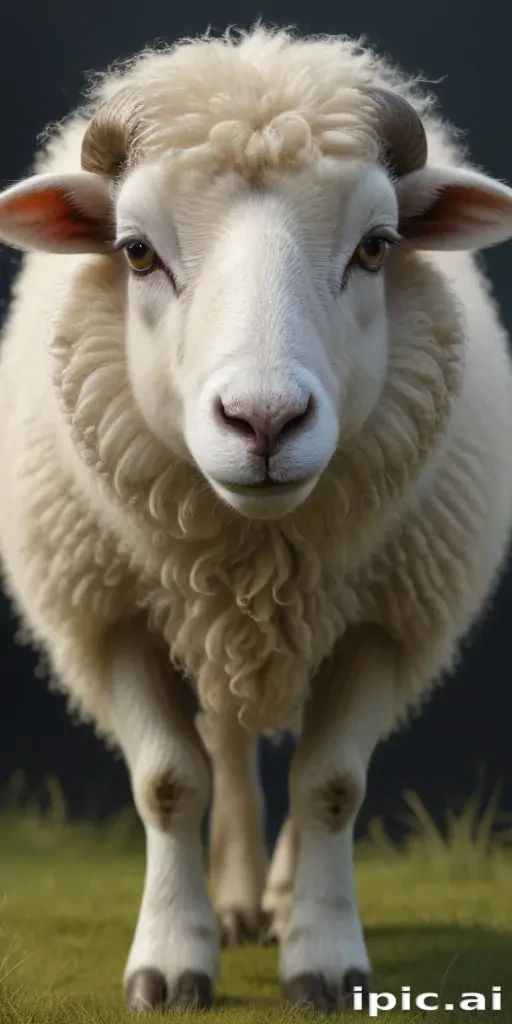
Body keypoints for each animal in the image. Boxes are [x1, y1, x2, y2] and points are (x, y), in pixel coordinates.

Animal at [1, 23, 512, 1013]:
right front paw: (172, 961)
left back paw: (275, 896)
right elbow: (169, 784)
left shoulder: (383, 623)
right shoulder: (113, 615)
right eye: (135, 252)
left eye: (378, 247)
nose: (265, 421)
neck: (257, 547)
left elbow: (332, 787)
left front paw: (325, 957)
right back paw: (237, 901)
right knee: (230, 751)